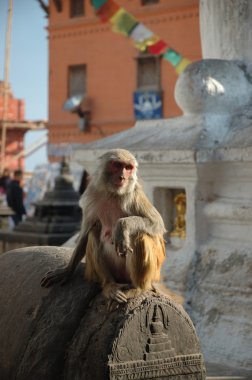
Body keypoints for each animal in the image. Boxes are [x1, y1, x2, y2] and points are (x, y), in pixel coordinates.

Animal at [40, 148, 167, 302]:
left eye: (128, 168)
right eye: (117, 165)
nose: (122, 177)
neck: (112, 193)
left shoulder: (133, 194)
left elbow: (156, 223)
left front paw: (122, 226)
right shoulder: (91, 195)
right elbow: (85, 234)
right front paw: (66, 271)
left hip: (146, 274)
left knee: (139, 234)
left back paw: (138, 288)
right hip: (112, 273)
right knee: (94, 232)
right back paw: (109, 286)